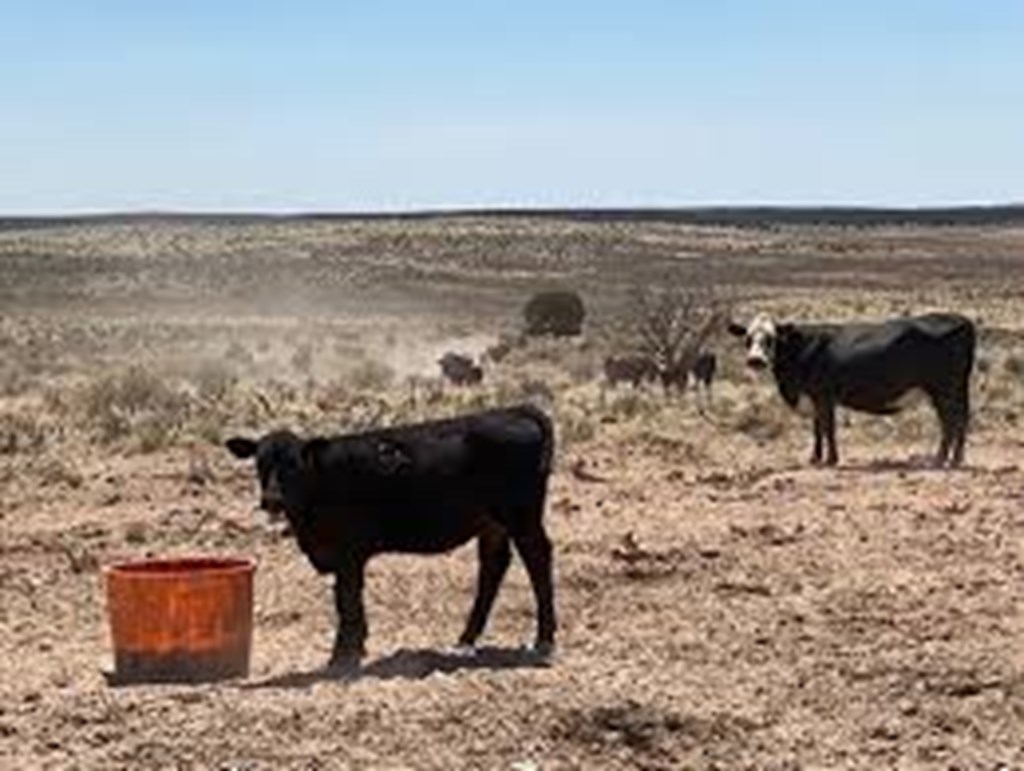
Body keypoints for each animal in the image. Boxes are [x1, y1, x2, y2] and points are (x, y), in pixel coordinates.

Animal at [227, 405, 557, 671]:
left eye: (293, 464)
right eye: (259, 463)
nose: (272, 500)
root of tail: (514, 411)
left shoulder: (348, 553)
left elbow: (347, 600)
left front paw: (342, 656)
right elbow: (348, 599)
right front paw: (355, 647)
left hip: (521, 516)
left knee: (537, 558)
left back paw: (544, 638)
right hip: (491, 524)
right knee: (493, 566)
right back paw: (466, 639)